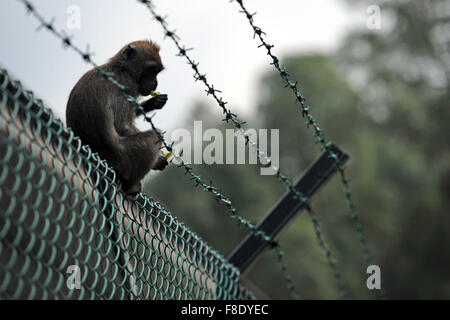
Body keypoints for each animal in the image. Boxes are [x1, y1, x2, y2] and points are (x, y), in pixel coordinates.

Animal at [67, 40, 170, 195]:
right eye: (151, 70)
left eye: (156, 72)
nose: (155, 83)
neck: (122, 68)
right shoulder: (128, 84)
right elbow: (123, 125)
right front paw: (159, 159)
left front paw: (151, 103)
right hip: (125, 159)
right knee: (154, 135)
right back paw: (132, 186)